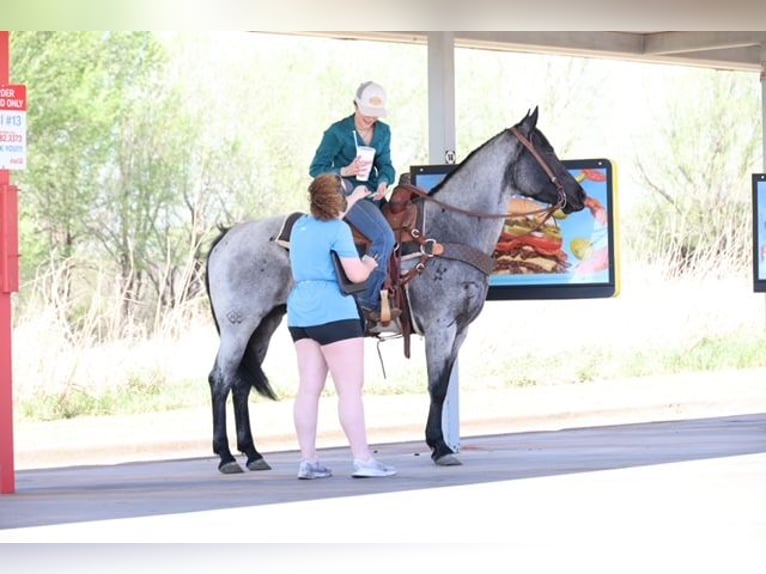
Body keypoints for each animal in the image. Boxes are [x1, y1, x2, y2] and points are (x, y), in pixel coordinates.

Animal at [204, 107, 587, 474]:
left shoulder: (459, 331)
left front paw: (438, 444)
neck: (449, 230)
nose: (579, 195)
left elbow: (443, 385)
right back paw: (225, 457)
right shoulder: (440, 326)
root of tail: (228, 235)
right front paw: (440, 447)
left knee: (240, 384)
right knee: (220, 379)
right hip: (239, 325)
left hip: (263, 324)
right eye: (546, 149)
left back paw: (253, 454)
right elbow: (436, 386)